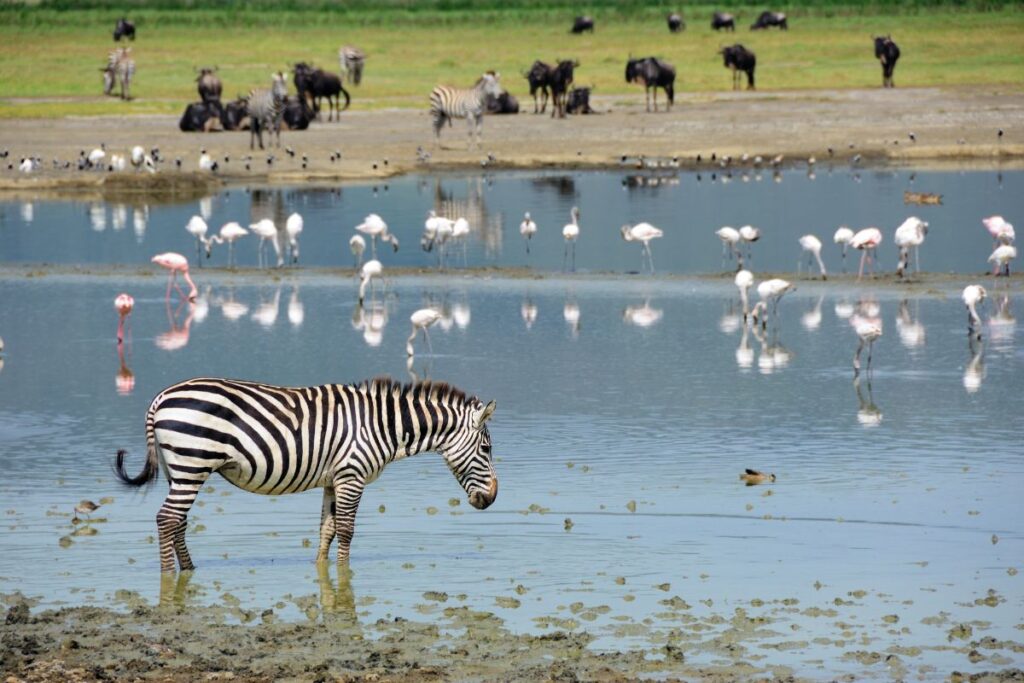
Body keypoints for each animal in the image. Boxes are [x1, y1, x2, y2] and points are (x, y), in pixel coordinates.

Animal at [114, 374, 497, 573]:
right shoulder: (352, 475)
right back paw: (169, 575)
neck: (381, 425)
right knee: (167, 519)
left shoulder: (333, 479)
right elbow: (347, 530)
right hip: (192, 463)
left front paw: (322, 570)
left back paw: (190, 569)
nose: (492, 498)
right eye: (487, 449)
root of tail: (161, 398)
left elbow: (327, 529)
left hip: (179, 469)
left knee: (177, 521)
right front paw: (344, 575)